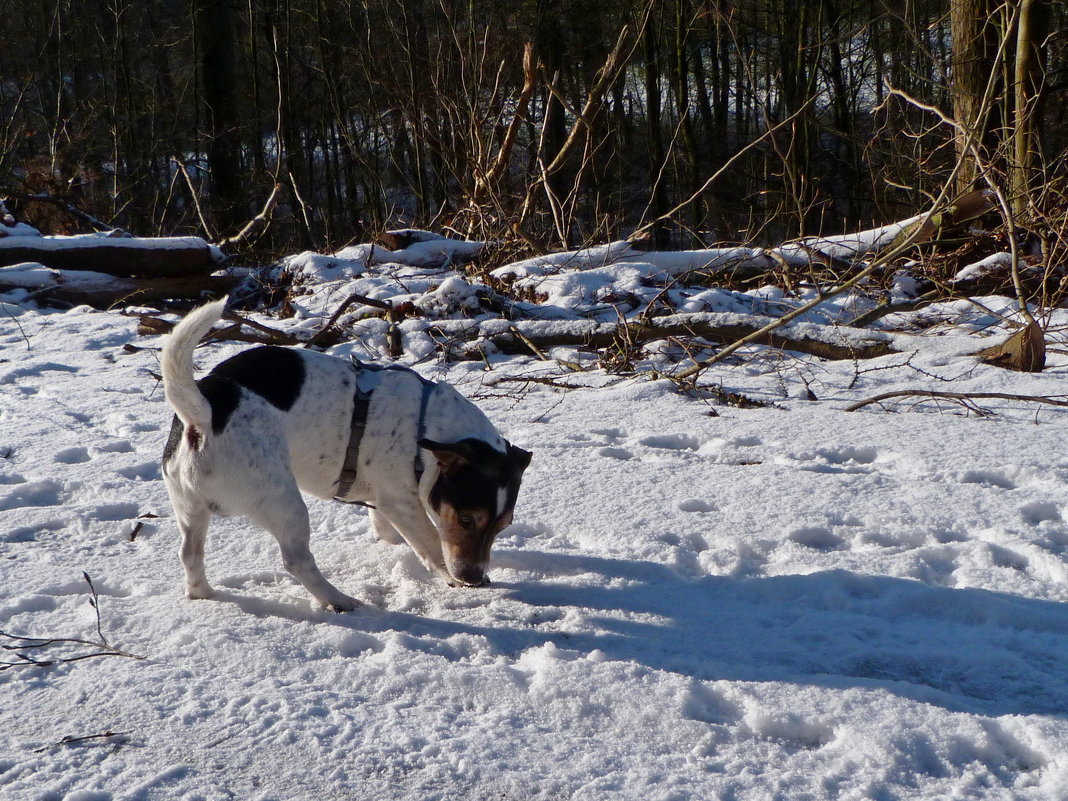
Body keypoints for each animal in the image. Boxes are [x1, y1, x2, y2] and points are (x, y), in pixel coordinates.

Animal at [158, 299, 529, 610]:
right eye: (466, 520)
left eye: (502, 526)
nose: (475, 579)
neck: (425, 425)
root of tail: (204, 415)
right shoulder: (402, 502)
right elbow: (431, 545)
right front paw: (451, 580)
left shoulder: (383, 500)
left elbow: (385, 529)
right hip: (283, 500)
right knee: (296, 560)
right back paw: (339, 600)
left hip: (190, 507)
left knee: (189, 552)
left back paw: (204, 593)